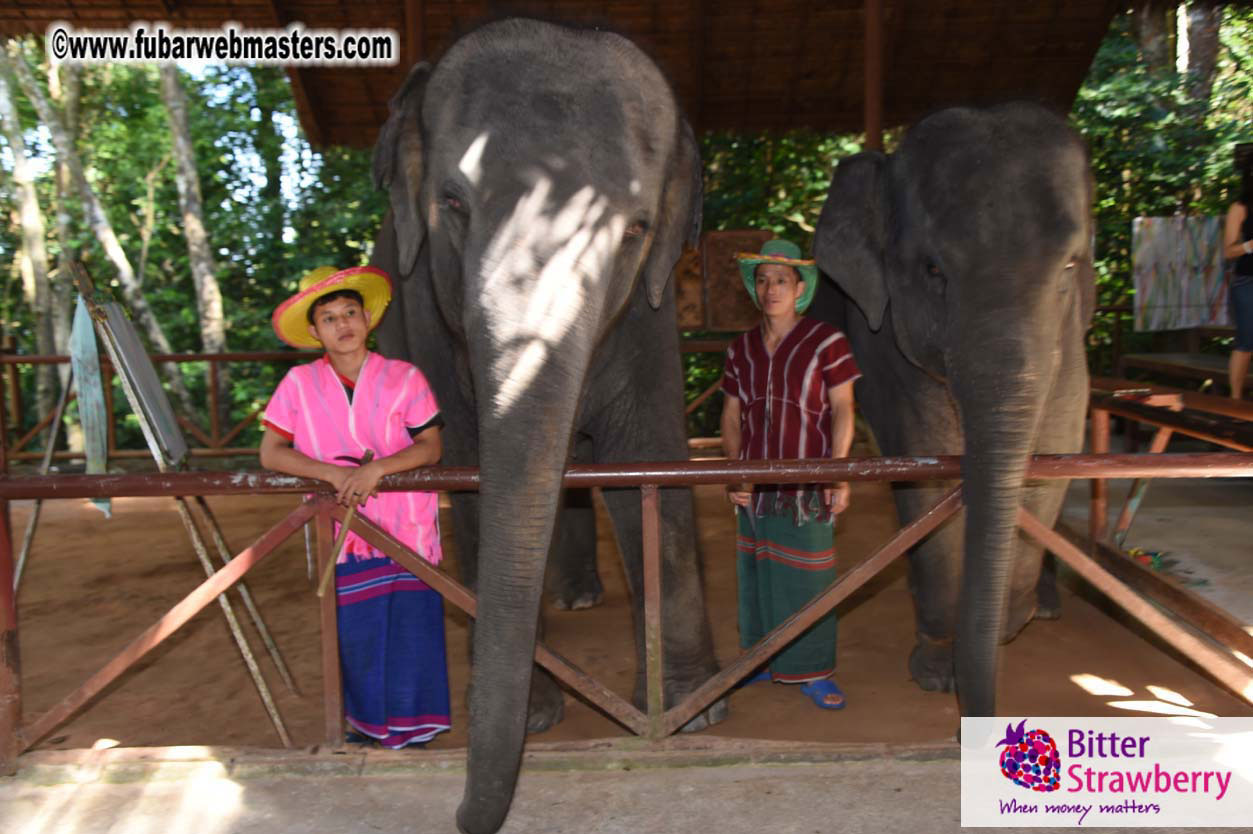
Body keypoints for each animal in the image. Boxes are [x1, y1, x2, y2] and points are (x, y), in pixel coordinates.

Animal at [367, 18, 725, 834]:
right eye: (453, 203)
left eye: (635, 229)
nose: (463, 815)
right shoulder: (427, 310)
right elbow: (469, 467)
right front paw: (535, 718)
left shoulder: (652, 311)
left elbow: (644, 462)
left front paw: (694, 714)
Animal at [810, 102, 1094, 718]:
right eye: (933, 269)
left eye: (1069, 267)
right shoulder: (883, 341)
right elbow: (929, 476)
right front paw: (939, 672)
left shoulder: (1070, 349)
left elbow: (1053, 464)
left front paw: (1011, 618)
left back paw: (1048, 605)